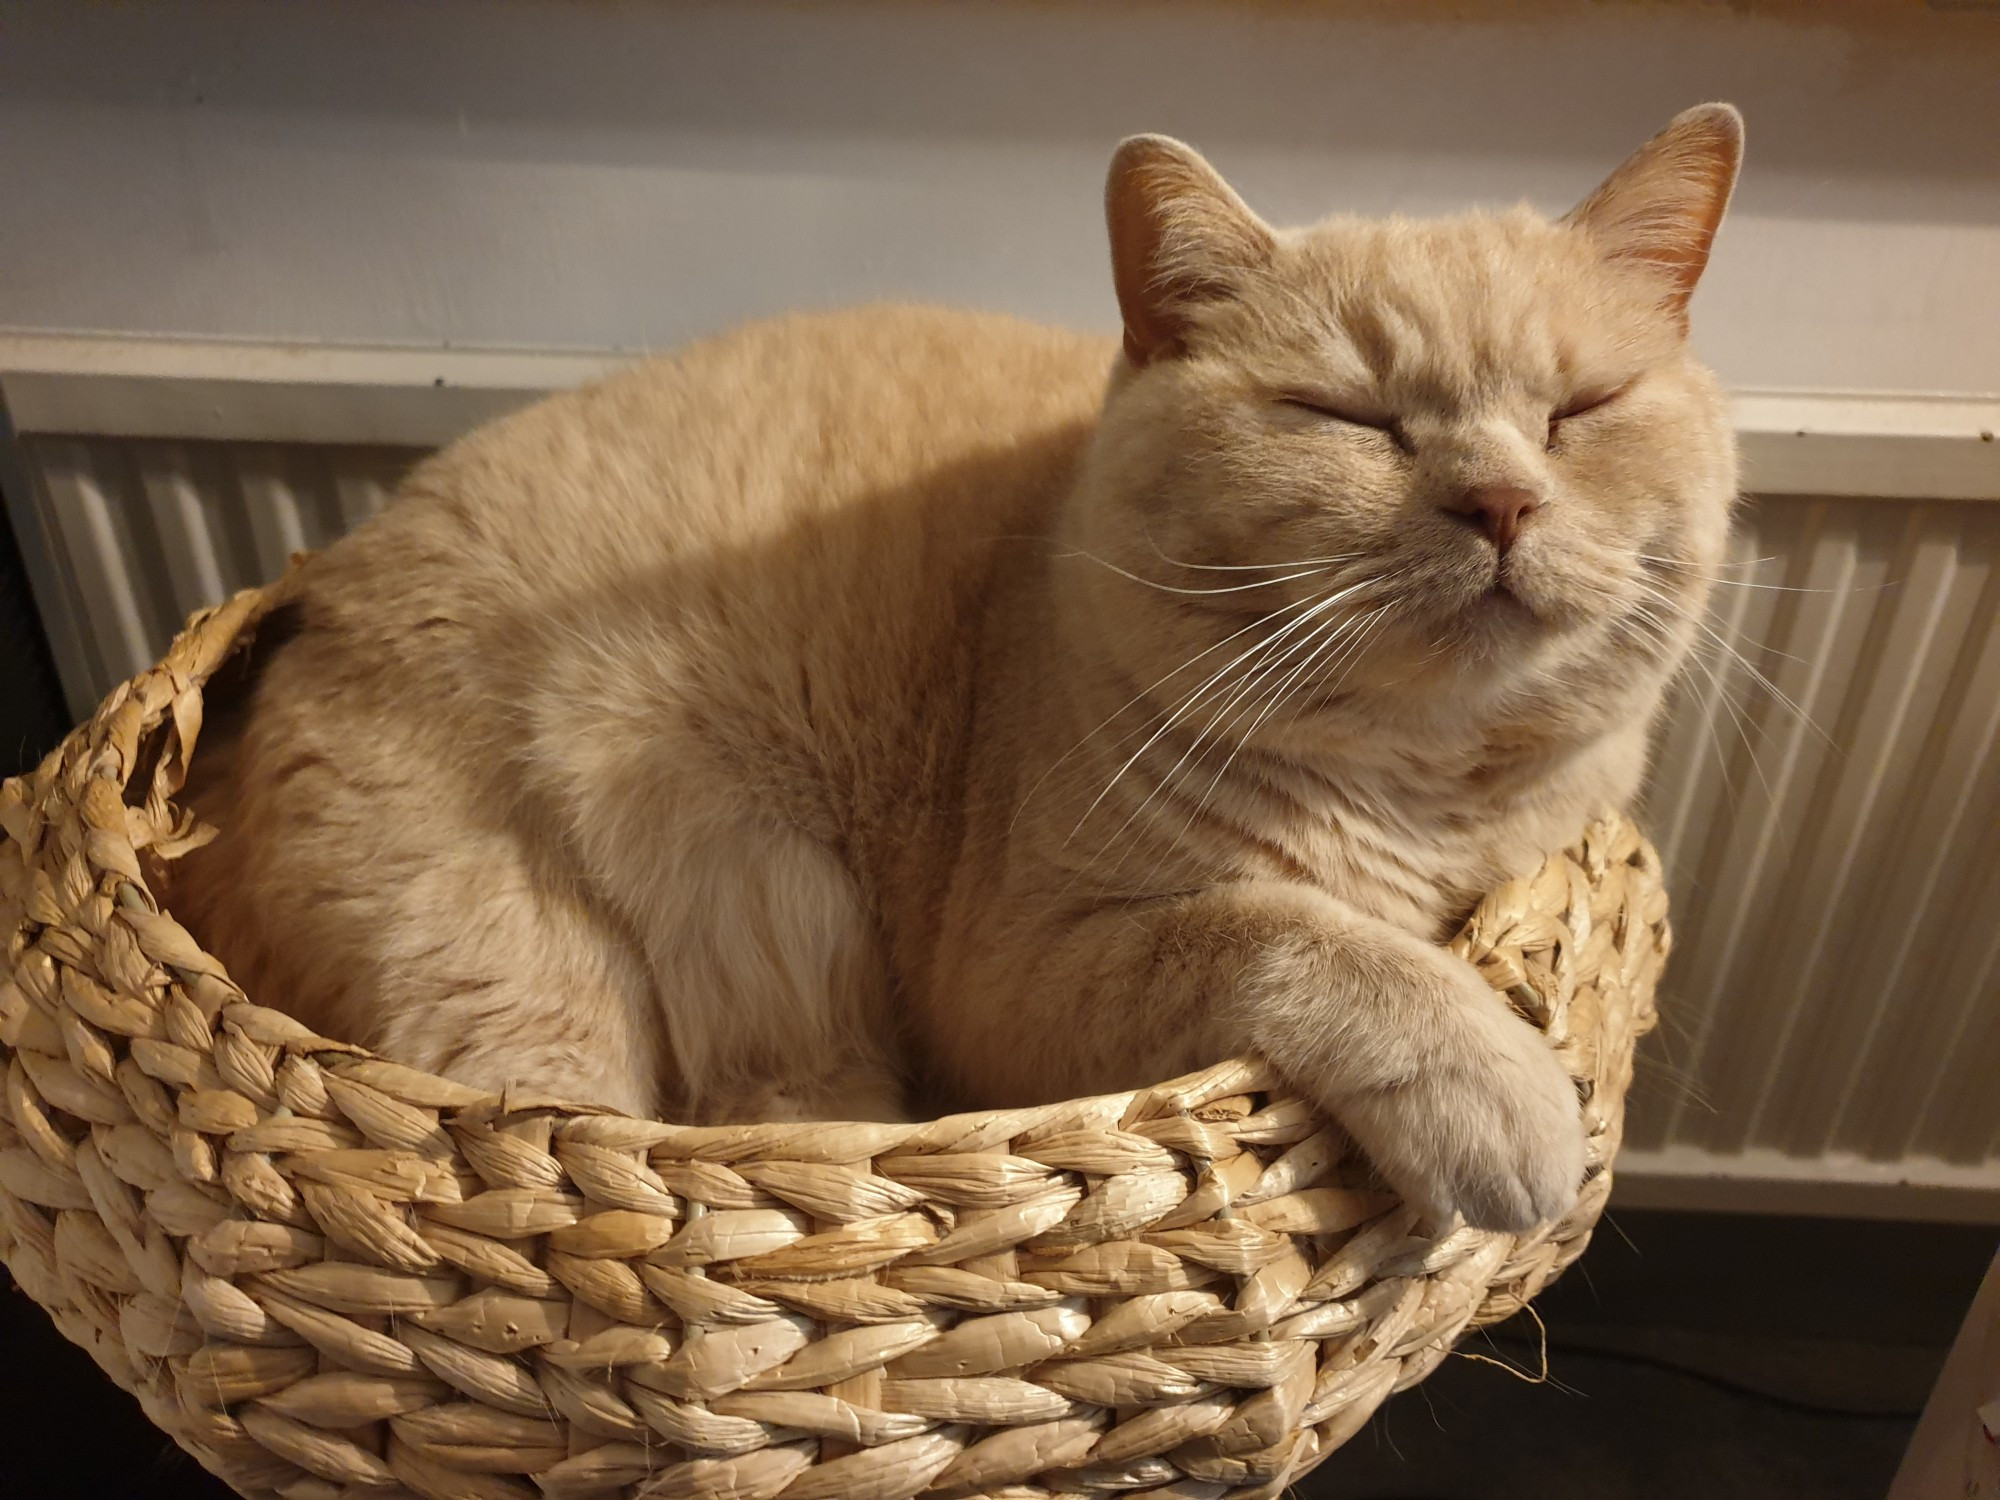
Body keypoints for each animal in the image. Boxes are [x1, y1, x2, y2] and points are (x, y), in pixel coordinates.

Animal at [164, 106, 1744, 1232]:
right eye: (1346, 417)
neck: (1423, 797)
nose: (1499, 502)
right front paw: (1502, 1096)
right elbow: (1298, 937)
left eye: (1582, 407)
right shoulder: (1025, 984)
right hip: (533, 988)